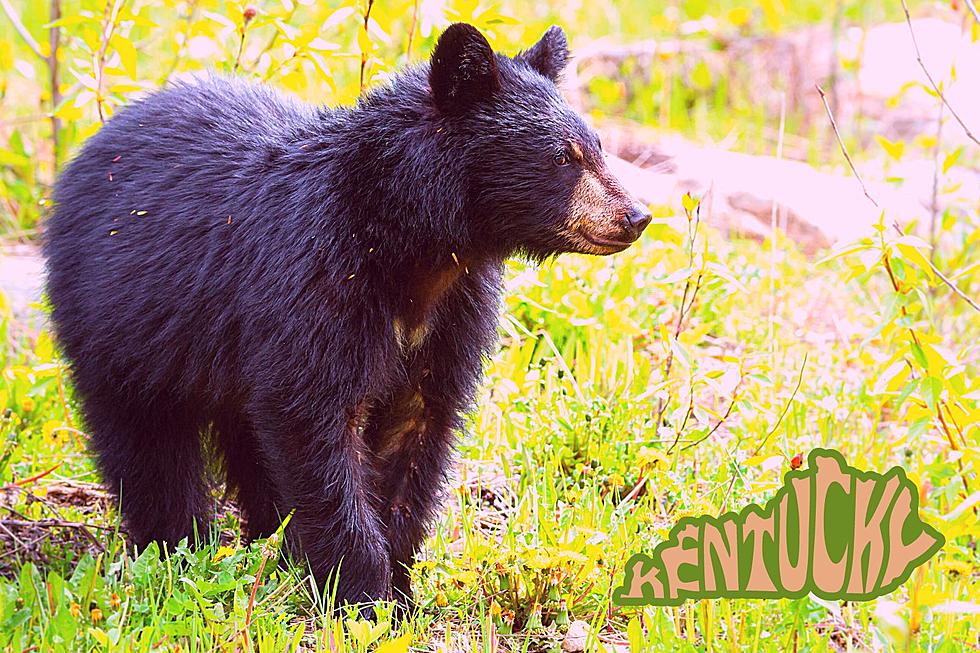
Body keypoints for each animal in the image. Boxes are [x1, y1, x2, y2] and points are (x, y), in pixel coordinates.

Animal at [44, 21, 652, 612]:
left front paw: (399, 590)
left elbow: (417, 428)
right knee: (147, 442)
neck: (413, 248)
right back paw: (180, 546)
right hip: (118, 322)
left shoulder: (454, 313)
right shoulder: (313, 282)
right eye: (564, 157)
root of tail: (90, 149)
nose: (636, 215)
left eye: (597, 146)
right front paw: (362, 595)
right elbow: (314, 423)